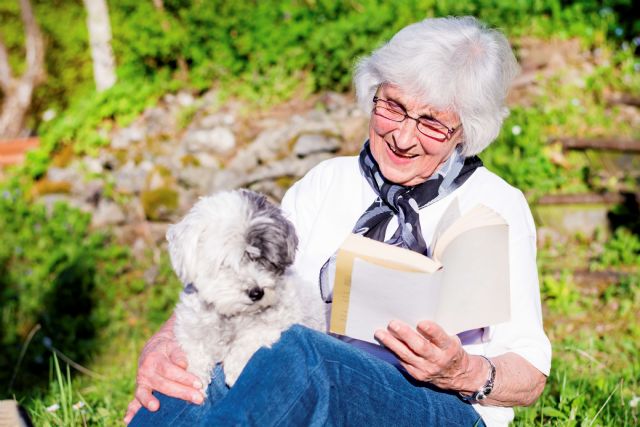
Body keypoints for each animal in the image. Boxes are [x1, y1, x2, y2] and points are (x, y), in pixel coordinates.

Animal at [168, 191, 324, 392]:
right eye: (226, 262)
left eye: (264, 260)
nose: (257, 293)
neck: (232, 315)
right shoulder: (190, 325)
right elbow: (195, 348)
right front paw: (195, 376)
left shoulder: (282, 320)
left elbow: (251, 337)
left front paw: (236, 369)